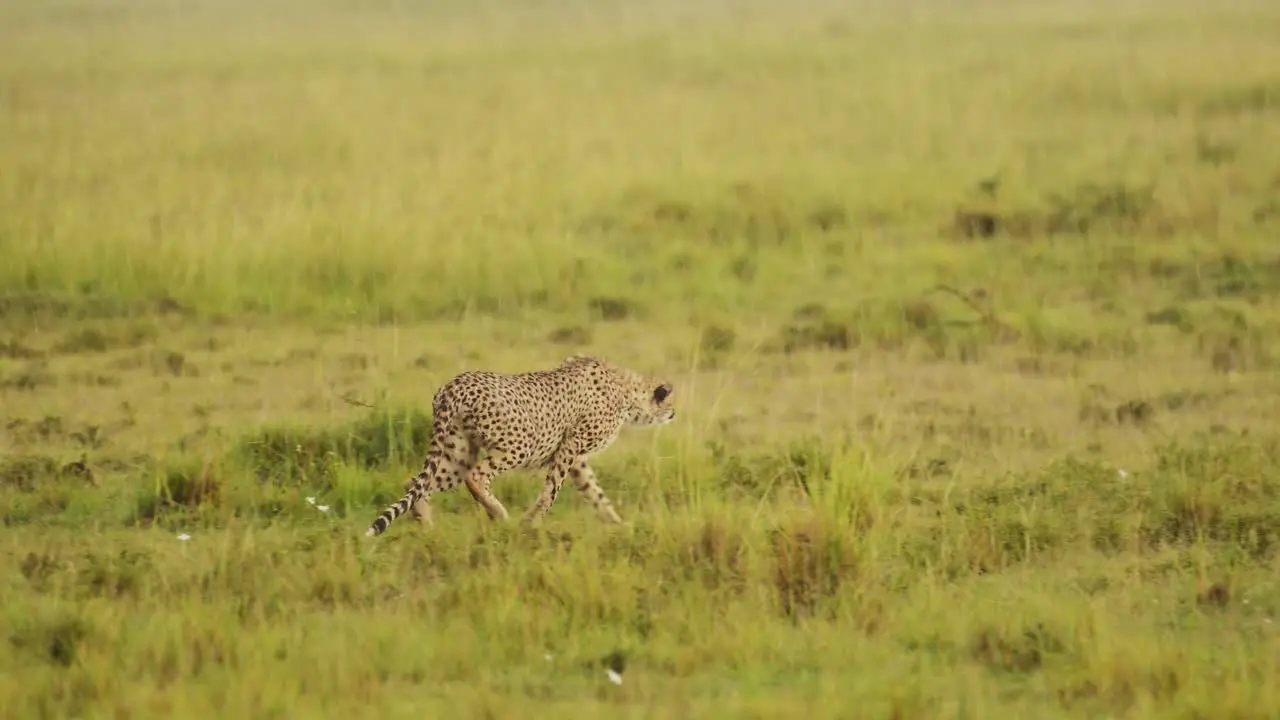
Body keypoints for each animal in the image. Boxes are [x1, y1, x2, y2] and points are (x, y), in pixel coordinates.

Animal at [366, 351, 675, 535]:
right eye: (670, 402)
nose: (674, 414)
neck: (626, 390)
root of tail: (454, 384)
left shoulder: (576, 458)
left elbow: (595, 493)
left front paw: (617, 523)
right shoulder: (571, 445)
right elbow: (552, 489)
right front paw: (533, 522)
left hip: (457, 452)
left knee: (417, 483)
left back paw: (427, 525)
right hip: (519, 445)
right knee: (476, 476)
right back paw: (499, 513)